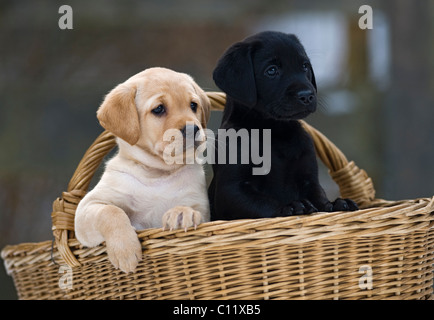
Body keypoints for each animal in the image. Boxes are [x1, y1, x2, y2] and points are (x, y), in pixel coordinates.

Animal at [76, 67, 212, 272]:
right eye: (159, 109)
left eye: (193, 105)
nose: (193, 128)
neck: (157, 173)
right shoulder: (88, 207)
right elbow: (111, 212)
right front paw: (124, 249)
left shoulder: (204, 210)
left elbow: (192, 210)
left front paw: (181, 213)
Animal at [209, 30, 358, 220]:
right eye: (272, 70)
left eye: (304, 66)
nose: (307, 95)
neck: (276, 132)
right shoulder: (231, 190)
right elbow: (264, 201)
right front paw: (291, 206)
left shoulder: (310, 180)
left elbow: (319, 199)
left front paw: (336, 204)